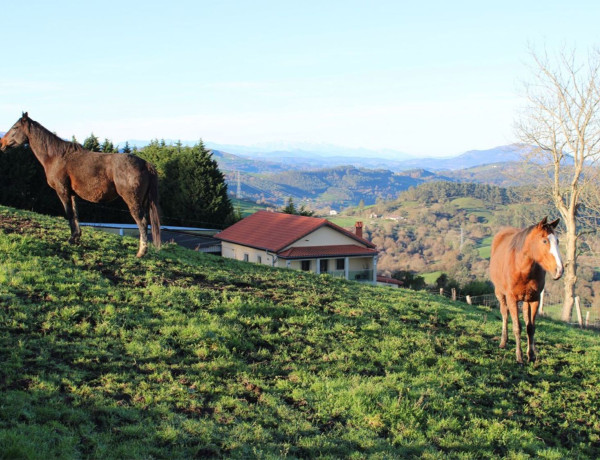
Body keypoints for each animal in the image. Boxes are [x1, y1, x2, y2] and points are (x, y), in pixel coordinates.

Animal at [0, 113, 161, 256]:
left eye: (15, 127)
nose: (2, 143)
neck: (56, 157)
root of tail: (145, 164)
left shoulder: (62, 190)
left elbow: (69, 213)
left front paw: (71, 239)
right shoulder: (71, 193)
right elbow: (75, 214)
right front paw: (77, 237)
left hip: (133, 201)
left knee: (142, 222)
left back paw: (141, 252)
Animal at [492, 217, 564, 364]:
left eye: (557, 240)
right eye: (544, 241)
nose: (559, 270)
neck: (521, 267)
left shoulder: (535, 299)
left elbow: (530, 327)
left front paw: (531, 355)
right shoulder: (512, 299)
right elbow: (517, 327)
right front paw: (519, 357)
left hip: (526, 300)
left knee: (526, 319)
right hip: (500, 294)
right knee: (505, 314)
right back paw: (503, 341)